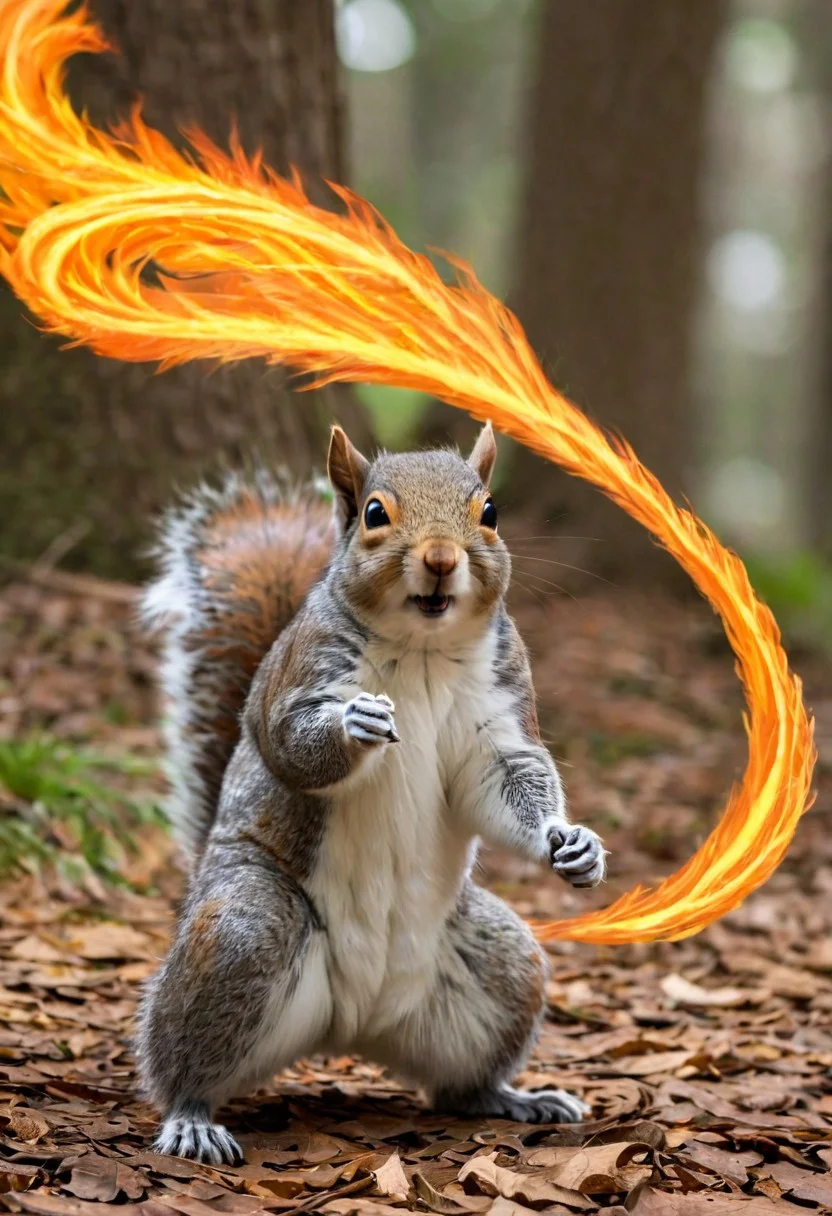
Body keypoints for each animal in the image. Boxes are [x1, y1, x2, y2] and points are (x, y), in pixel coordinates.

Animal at [137, 424, 607, 1166]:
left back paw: (513, 1097)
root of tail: (348, 1025)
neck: (422, 647)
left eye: (490, 511)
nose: (440, 559)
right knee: (180, 1057)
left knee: (460, 1083)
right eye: (374, 514)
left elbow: (506, 780)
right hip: (245, 931)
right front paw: (353, 723)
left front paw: (574, 844)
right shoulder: (300, 672)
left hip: (503, 966)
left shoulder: (500, 713)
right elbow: (290, 742)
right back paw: (190, 1116)